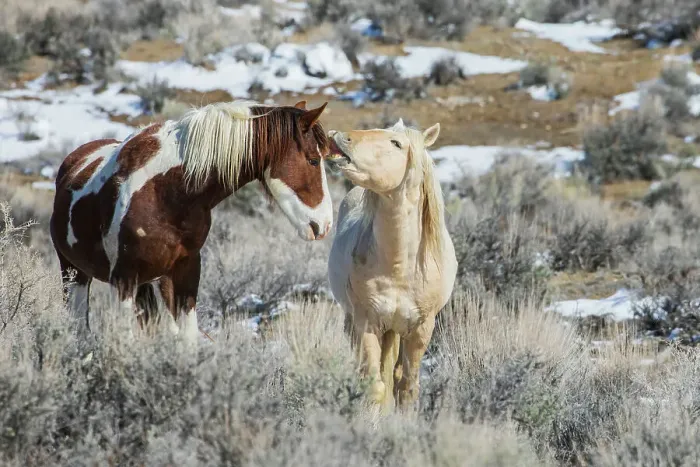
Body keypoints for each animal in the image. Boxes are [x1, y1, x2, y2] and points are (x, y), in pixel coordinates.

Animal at [50, 100, 333, 344]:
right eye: (313, 160)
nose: (325, 224)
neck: (167, 193)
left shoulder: (186, 272)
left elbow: (186, 339)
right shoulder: (123, 278)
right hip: (74, 273)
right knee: (79, 326)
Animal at [326, 119, 457, 411]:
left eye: (396, 143)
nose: (338, 136)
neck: (399, 268)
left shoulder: (421, 329)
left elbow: (407, 388)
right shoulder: (367, 323)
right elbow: (375, 387)